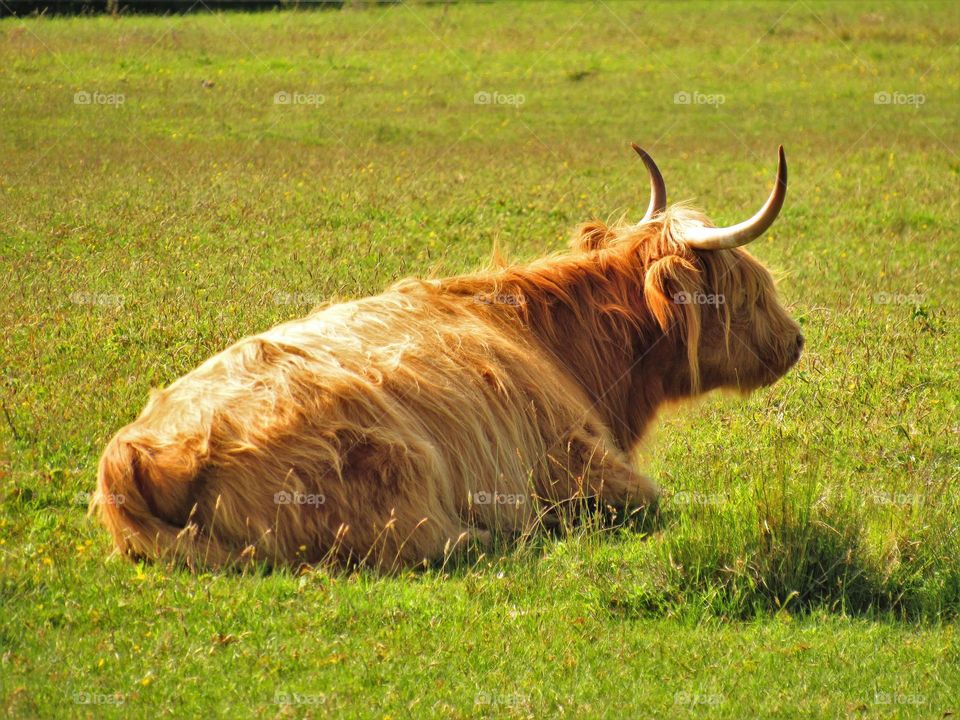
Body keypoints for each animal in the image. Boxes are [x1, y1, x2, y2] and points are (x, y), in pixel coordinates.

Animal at [95, 146, 804, 572]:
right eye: (744, 289)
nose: (795, 342)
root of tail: (137, 454)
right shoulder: (582, 462)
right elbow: (659, 502)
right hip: (396, 473)